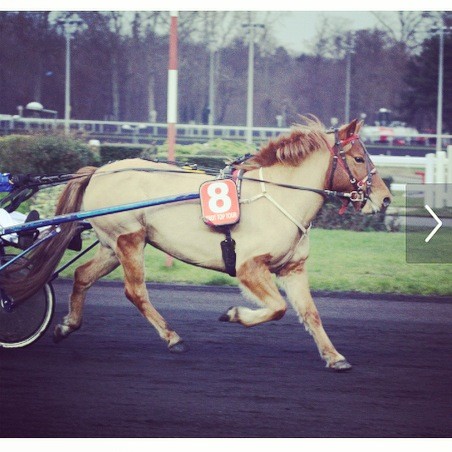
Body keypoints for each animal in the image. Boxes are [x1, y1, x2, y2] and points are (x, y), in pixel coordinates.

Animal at [5, 116, 390, 370]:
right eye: (359, 158)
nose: (385, 199)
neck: (277, 197)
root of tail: (99, 170)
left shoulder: (292, 268)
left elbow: (310, 313)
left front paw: (334, 357)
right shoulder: (250, 266)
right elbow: (278, 308)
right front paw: (235, 314)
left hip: (112, 244)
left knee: (83, 275)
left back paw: (68, 325)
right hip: (129, 239)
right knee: (135, 291)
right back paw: (173, 338)